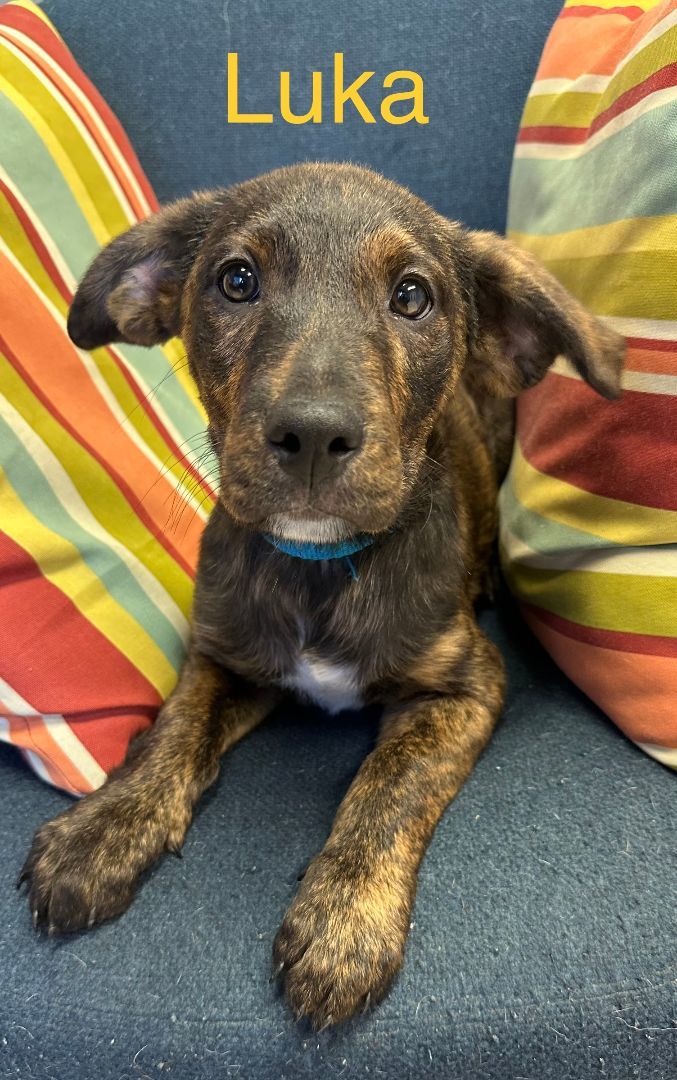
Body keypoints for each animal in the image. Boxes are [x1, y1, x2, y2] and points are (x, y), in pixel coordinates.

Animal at [19, 162, 626, 1028]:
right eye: (236, 280)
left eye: (412, 296)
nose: (310, 436)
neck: (320, 568)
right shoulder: (221, 653)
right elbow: (173, 731)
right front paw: (103, 828)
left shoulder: (467, 685)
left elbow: (388, 789)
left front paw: (344, 923)